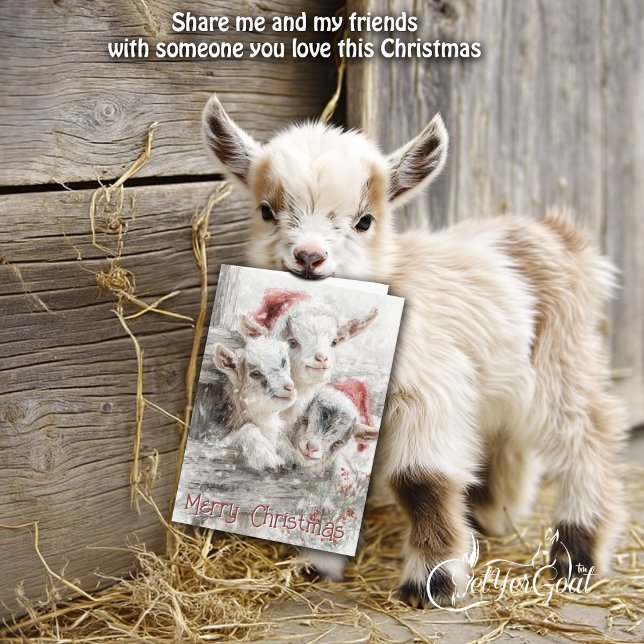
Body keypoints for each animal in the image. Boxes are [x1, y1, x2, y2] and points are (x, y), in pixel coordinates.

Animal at [202, 94, 627, 608]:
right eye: (266, 210)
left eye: (365, 221)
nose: (308, 256)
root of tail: (557, 233)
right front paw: (315, 560)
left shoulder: (427, 389)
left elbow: (421, 479)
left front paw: (433, 581)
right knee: (504, 432)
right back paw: (492, 513)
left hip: (559, 353)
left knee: (587, 427)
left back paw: (577, 550)